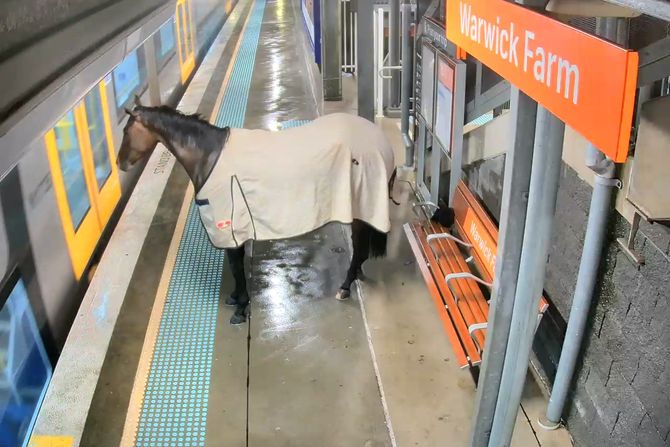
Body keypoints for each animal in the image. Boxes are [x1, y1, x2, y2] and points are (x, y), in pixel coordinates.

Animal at [118, 96, 396, 324]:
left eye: (126, 130)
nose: (120, 164)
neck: (209, 157)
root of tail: (381, 141)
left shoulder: (229, 229)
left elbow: (236, 268)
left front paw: (241, 309)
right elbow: (237, 267)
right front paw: (235, 298)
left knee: (359, 246)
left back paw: (345, 286)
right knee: (361, 248)